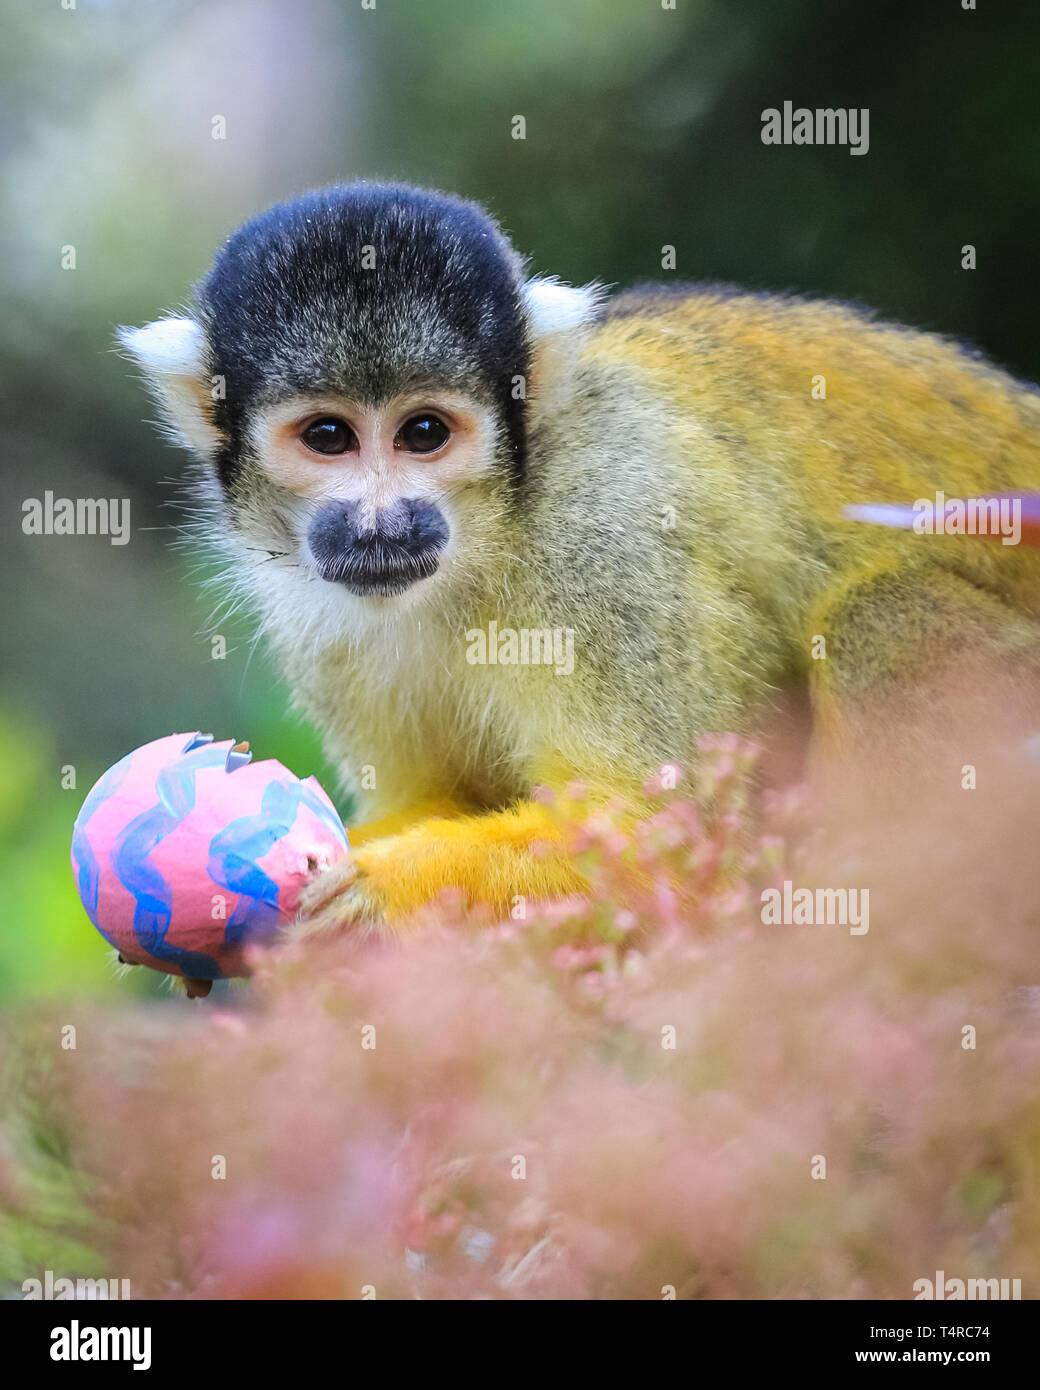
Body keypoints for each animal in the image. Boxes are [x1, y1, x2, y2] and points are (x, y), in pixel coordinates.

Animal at [117, 176, 1040, 934]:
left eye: (424, 432)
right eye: (329, 437)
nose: (385, 524)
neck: (484, 543)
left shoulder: (606, 533)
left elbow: (659, 830)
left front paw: (385, 884)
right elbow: (440, 794)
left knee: (879, 617)